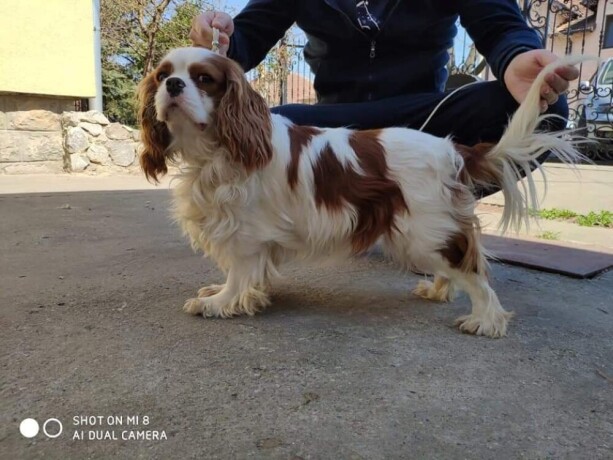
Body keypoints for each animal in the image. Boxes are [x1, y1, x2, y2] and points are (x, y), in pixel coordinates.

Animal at [135, 47, 584, 338]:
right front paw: (225, 294)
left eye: (203, 79)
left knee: (474, 272)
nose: (172, 84)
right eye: (162, 74)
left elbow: (240, 271)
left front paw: (220, 302)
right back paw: (438, 290)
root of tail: (452, 148)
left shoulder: (245, 230)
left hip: (424, 228)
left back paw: (487, 321)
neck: (219, 147)